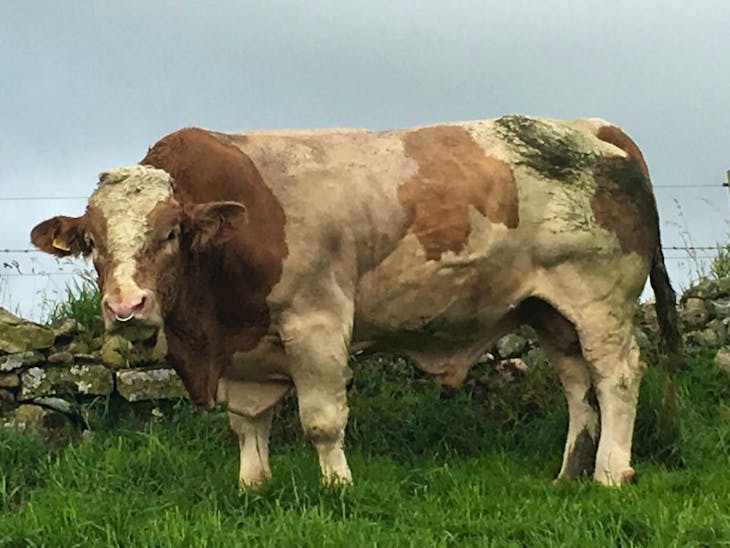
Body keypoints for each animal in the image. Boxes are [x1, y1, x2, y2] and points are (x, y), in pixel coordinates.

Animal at [30, 115, 683, 487]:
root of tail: (593, 125)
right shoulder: (244, 349)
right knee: (578, 385)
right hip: (550, 311)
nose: (126, 307)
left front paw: (337, 487)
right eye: (92, 243)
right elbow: (247, 424)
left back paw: (609, 473)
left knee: (618, 376)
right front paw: (253, 484)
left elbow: (322, 420)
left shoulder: (316, 320)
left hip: (599, 301)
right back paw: (568, 472)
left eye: (170, 233)